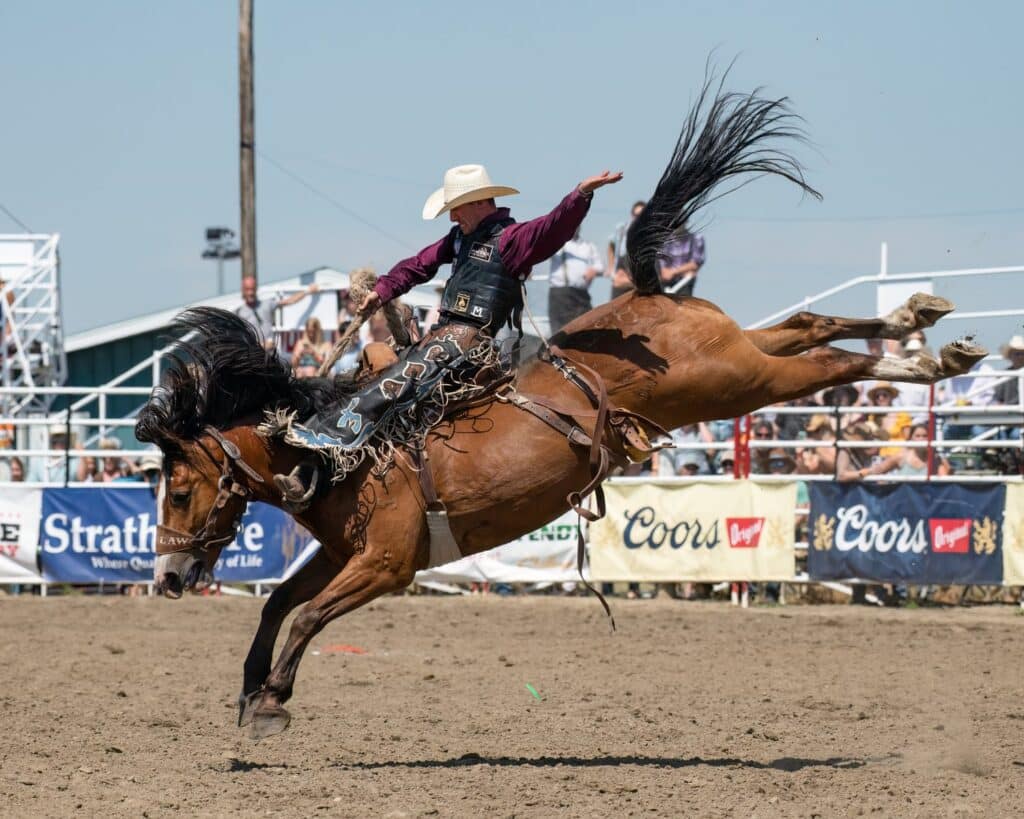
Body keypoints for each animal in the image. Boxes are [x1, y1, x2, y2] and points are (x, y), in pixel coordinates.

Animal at [134, 78, 983, 741]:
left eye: (177, 492)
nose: (167, 577)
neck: (336, 455)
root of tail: (650, 293)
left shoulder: (386, 562)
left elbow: (307, 616)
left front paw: (272, 700)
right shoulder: (344, 552)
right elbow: (279, 601)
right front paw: (250, 687)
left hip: (733, 380)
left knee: (825, 364)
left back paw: (923, 350)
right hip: (735, 356)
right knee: (806, 326)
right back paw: (923, 328)